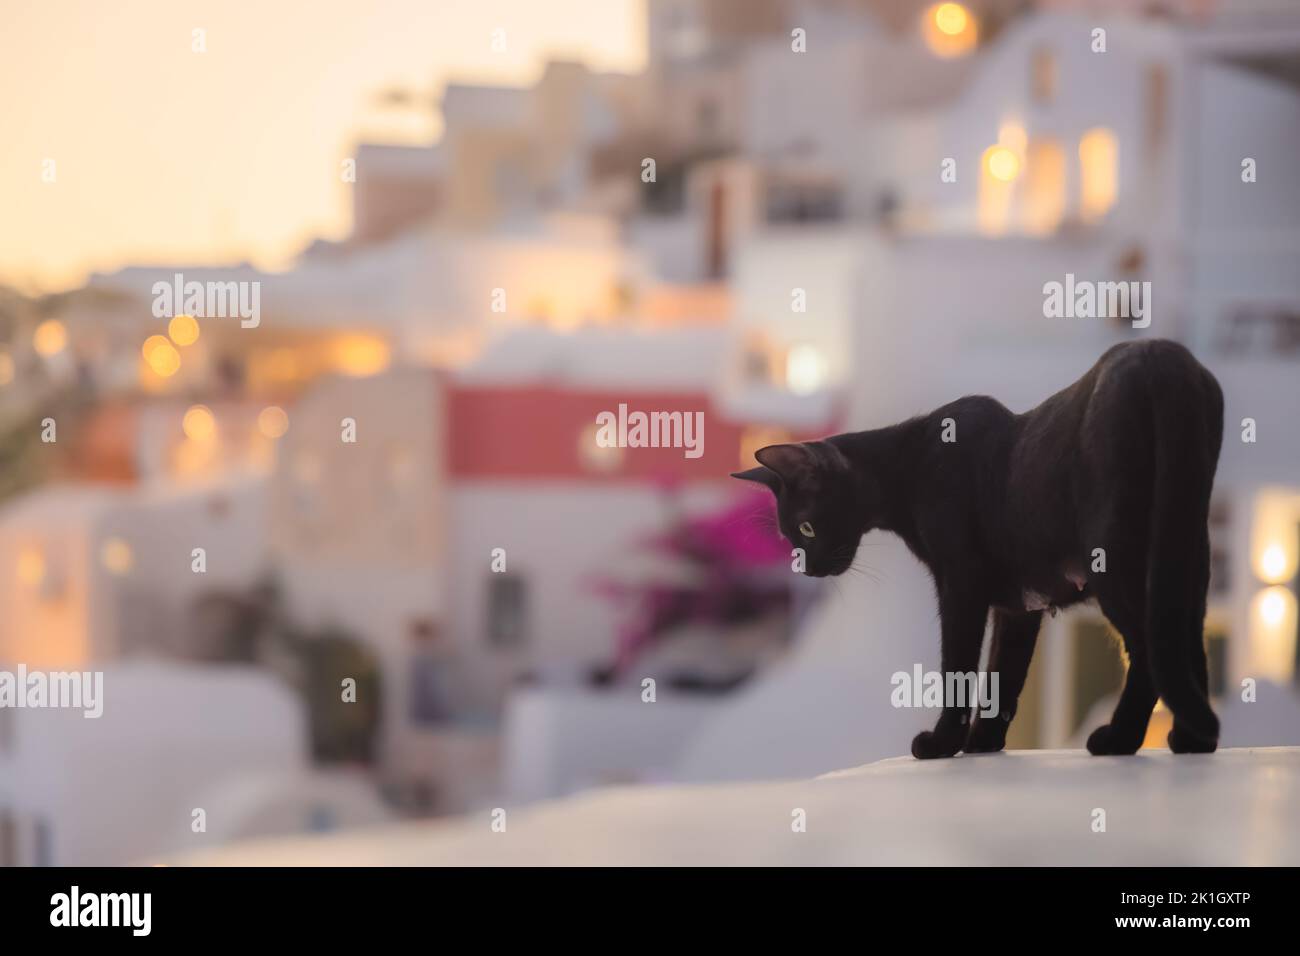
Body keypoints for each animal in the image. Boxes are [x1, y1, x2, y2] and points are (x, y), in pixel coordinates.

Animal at [738, 340, 1222, 759]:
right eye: (789, 538)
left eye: (807, 528)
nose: (806, 570)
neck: (907, 464)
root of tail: (1158, 353)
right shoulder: (1020, 605)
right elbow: (1003, 676)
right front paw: (981, 743)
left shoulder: (960, 585)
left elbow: (959, 667)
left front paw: (941, 744)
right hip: (1188, 552)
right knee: (1184, 639)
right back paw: (1194, 738)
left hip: (1114, 559)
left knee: (1148, 650)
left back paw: (1119, 739)